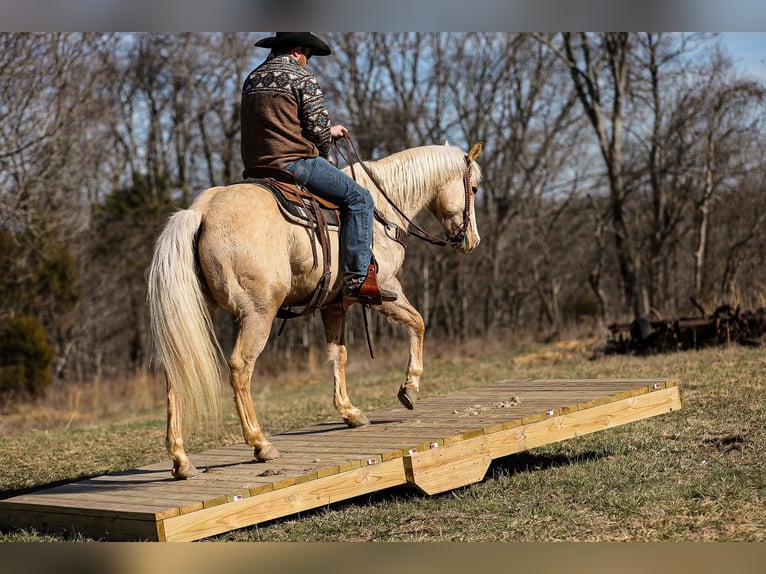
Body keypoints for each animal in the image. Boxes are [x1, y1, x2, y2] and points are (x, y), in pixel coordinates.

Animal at [147, 142, 484, 480]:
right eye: (475, 188)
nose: (472, 241)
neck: (382, 212)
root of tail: (202, 211)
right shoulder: (386, 289)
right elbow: (418, 323)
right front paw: (409, 389)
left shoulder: (334, 304)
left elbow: (339, 355)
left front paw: (350, 411)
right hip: (258, 314)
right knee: (241, 367)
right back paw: (260, 444)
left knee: (176, 372)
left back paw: (181, 460)